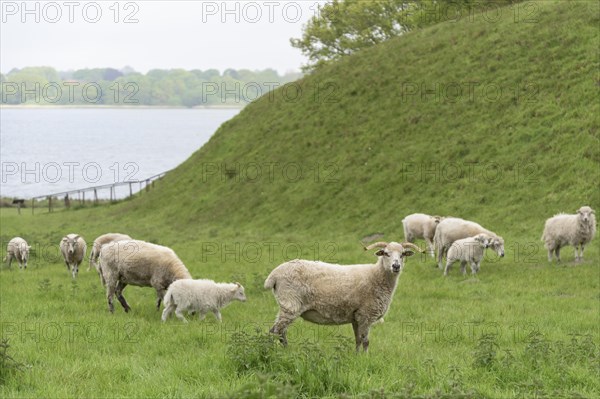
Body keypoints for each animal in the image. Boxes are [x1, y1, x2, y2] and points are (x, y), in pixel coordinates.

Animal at [264, 241, 424, 354]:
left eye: (402, 254)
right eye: (385, 253)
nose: (396, 266)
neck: (377, 276)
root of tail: (274, 276)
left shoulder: (356, 316)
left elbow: (358, 339)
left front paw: (356, 356)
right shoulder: (366, 314)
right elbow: (365, 341)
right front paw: (366, 358)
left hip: (287, 305)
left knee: (280, 332)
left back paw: (285, 350)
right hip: (291, 303)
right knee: (275, 331)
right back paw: (275, 352)